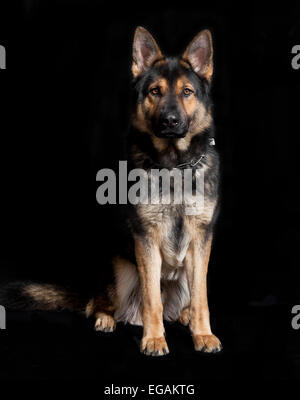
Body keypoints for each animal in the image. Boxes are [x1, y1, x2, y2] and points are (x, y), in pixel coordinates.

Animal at [0, 28, 221, 356]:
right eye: (155, 91)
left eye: (186, 92)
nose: (170, 121)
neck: (174, 166)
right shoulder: (145, 238)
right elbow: (152, 300)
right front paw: (154, 339)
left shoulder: (200, 238)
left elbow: (201, 299)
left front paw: (202, 334)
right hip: (120, 270)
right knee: (100, 304)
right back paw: (106, 319)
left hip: (183, 273)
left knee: (183, 302)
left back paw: (182, 317)